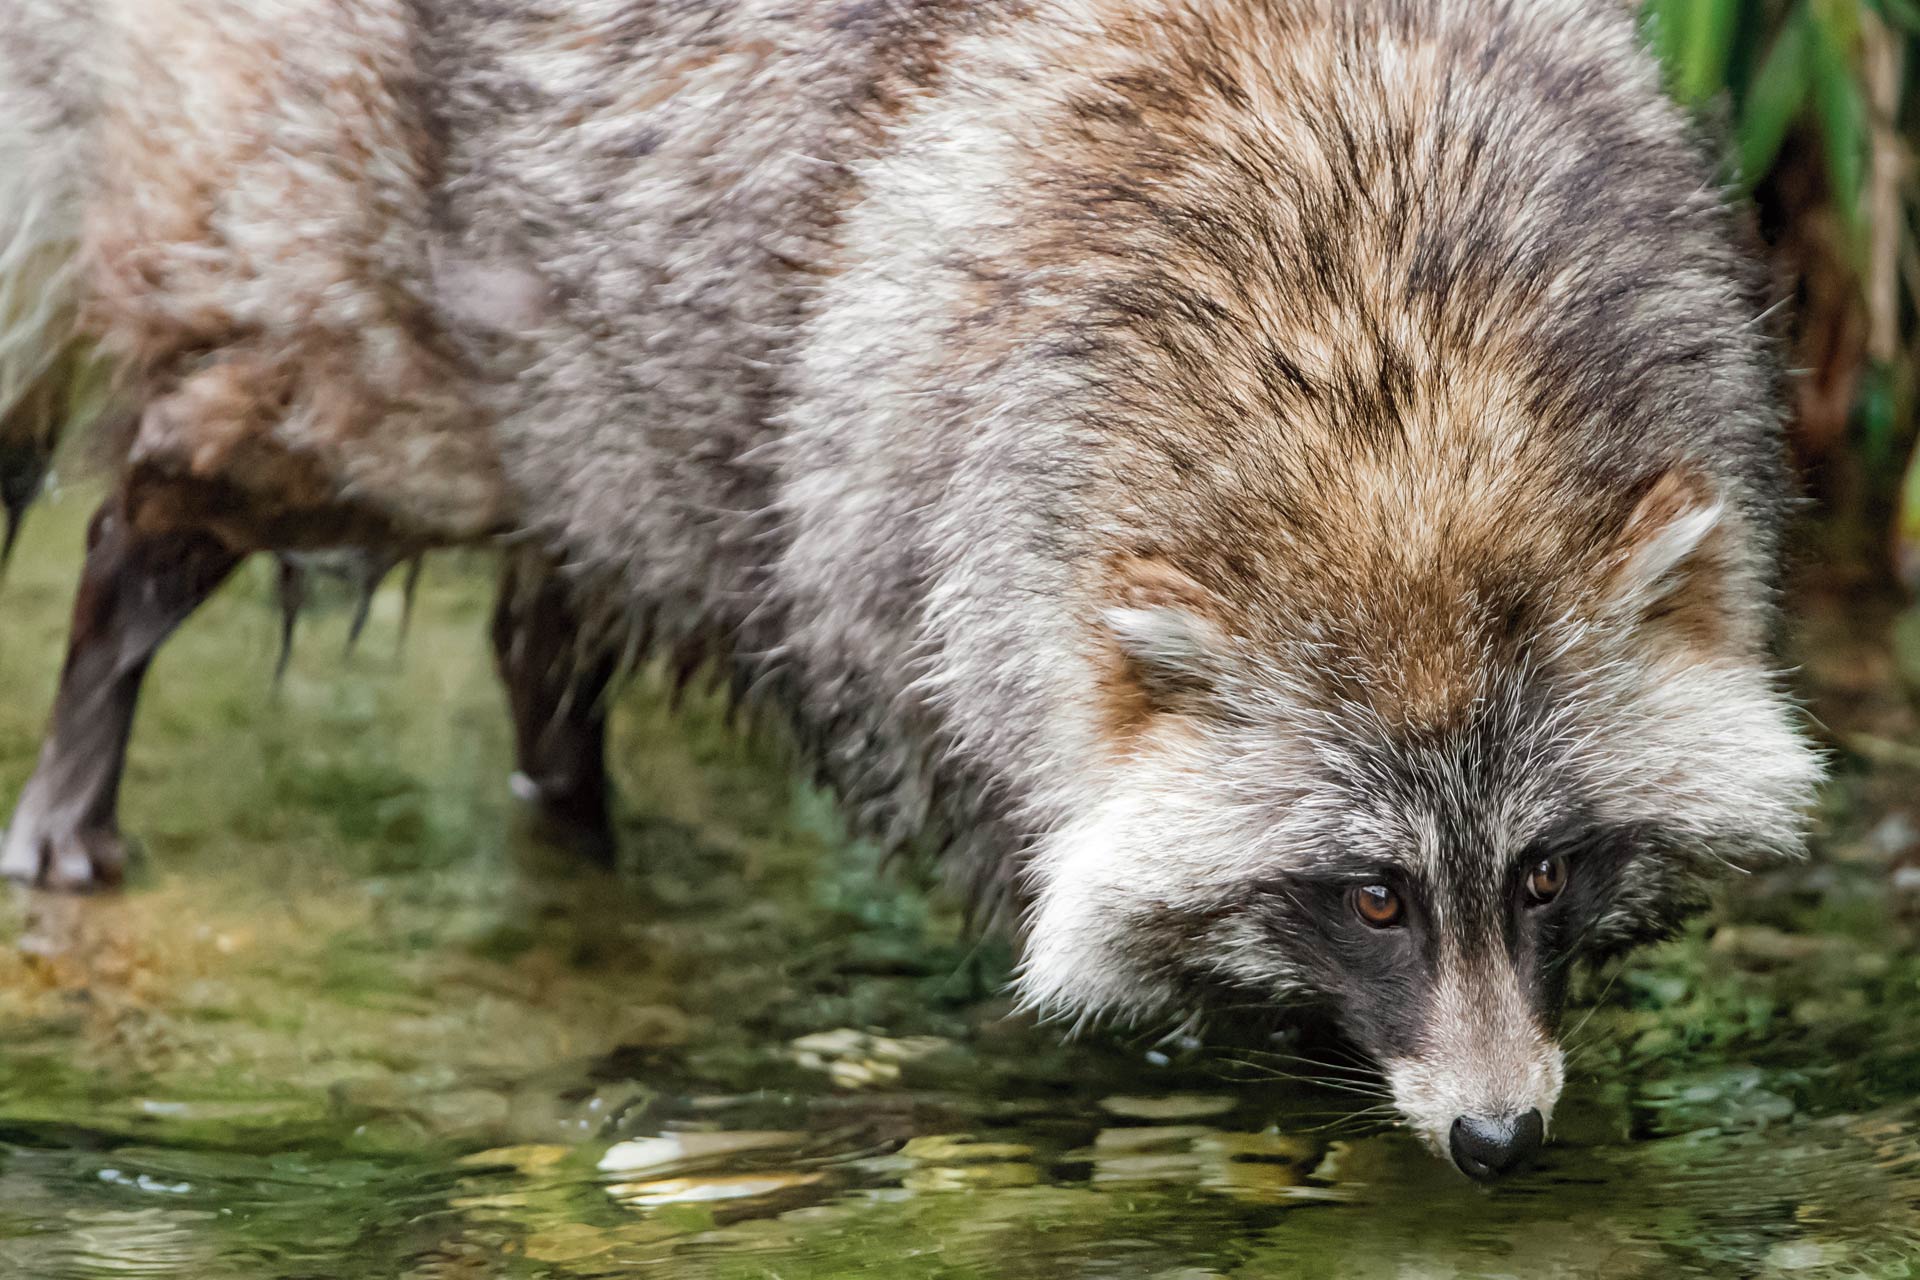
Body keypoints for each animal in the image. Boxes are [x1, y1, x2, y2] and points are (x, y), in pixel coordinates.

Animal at [0, 0, 1820, 1182]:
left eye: (1545, 873)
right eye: (1373, 897)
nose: (1500, 1140)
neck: (1391, 357)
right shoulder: (936, 579)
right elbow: (1035, 881)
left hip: (615, 415)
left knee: (553, 611)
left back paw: (568, 806)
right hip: (374, 308)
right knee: (215, 472)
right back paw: (101, 680)